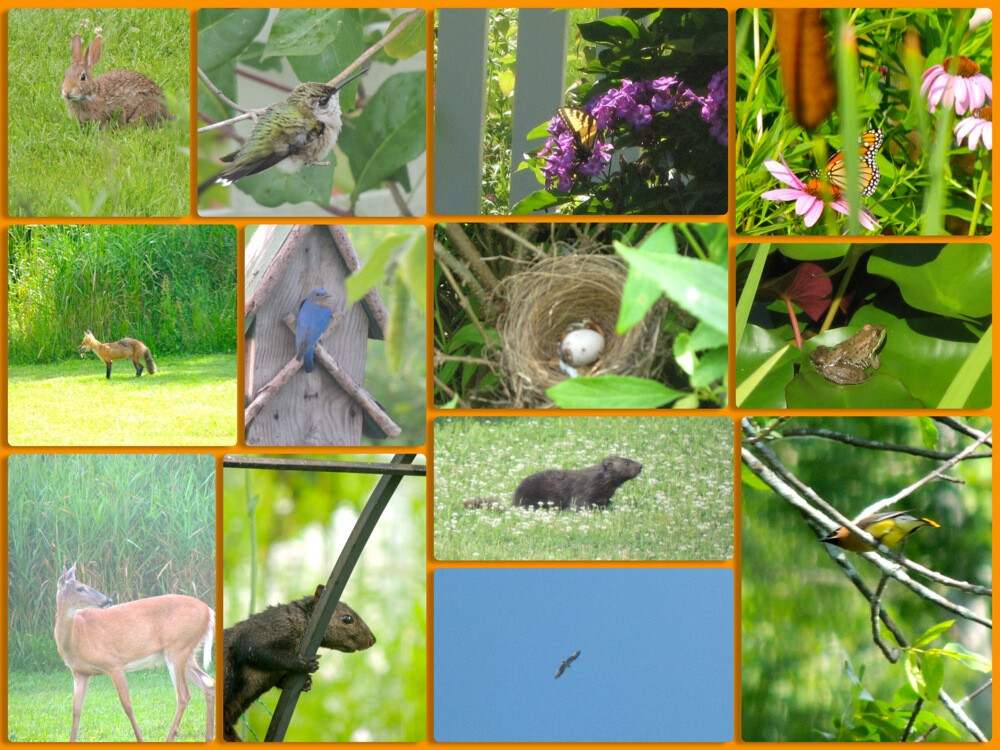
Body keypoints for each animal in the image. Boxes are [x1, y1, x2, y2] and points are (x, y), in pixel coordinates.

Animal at [54, 568, 215, 744]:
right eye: (80, 588)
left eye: (84, 585)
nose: (107, 600)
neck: (75, 638)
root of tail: (209, 612)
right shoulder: (80, 672)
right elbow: (76, 710)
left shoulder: (113, 663)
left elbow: (127, 706)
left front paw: (140, 739)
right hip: (187, 654)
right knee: (209, 684)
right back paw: (208, 737)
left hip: (177, 648)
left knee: (184, 695)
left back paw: (171, 737)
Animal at [223, 584, 376, 744]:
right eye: (347, 619)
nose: (372, 640)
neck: (299, 621)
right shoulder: (264, 632)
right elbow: (259, 652)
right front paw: (301, 663)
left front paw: (307, 682)